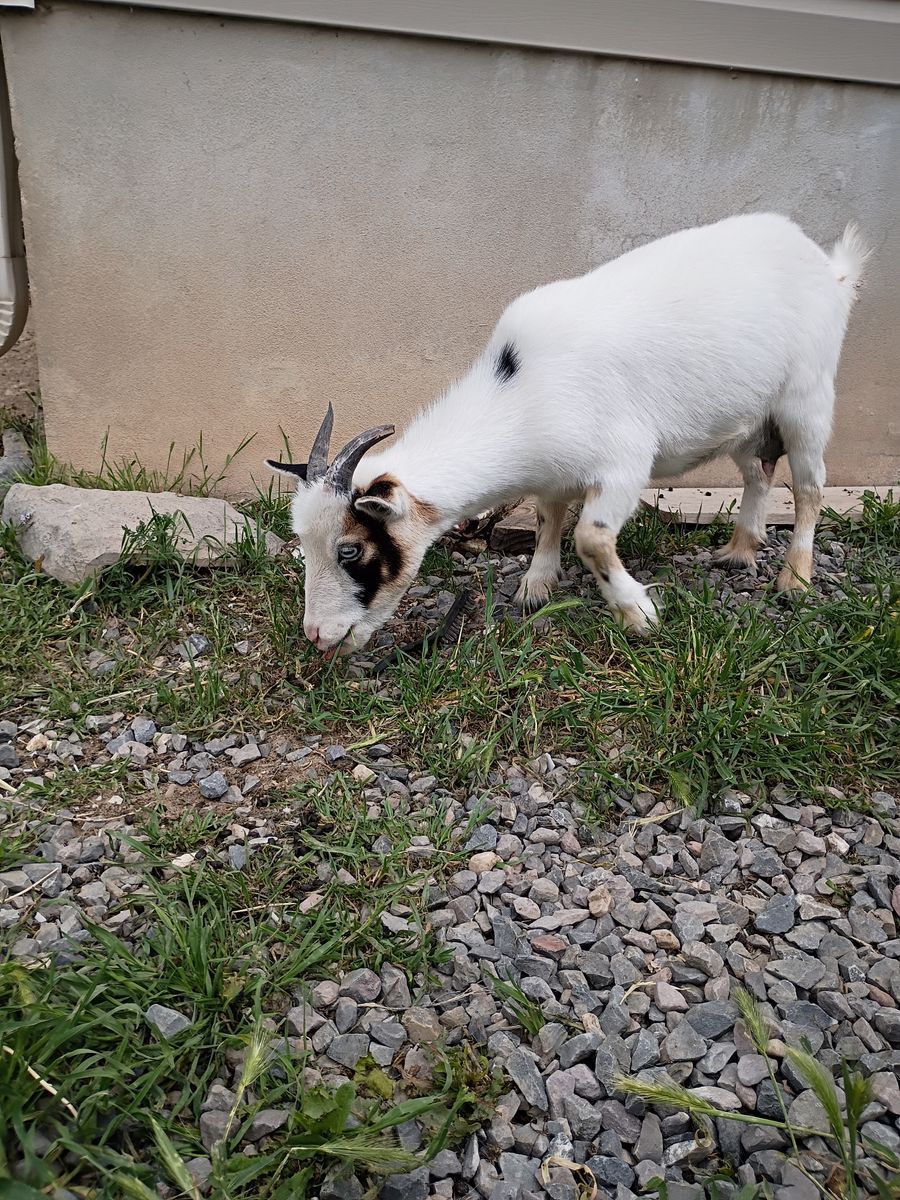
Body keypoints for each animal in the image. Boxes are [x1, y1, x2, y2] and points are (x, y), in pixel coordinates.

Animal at [267, 213, 869, 655]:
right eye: (303, 545)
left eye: (349, 549)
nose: (316, 636)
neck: (522, 394)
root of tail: (829, 269)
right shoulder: (553, 470)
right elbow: (547, 516)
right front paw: (537, 585)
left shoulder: (625, 461)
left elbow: (592, 537)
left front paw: (638, 612)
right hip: (747, 417)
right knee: (758, 472)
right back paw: (740, 551)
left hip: (808, 395)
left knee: (810, 485)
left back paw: (795, 578)